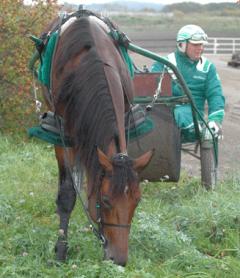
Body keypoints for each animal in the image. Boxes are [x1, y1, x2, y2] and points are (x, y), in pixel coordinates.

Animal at [38, 11, 153, 268]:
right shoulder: (62, 134)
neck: (95, 63)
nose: (119, 260)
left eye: (138, 201)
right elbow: (67, 194)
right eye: (107, 200)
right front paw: (61, 251)